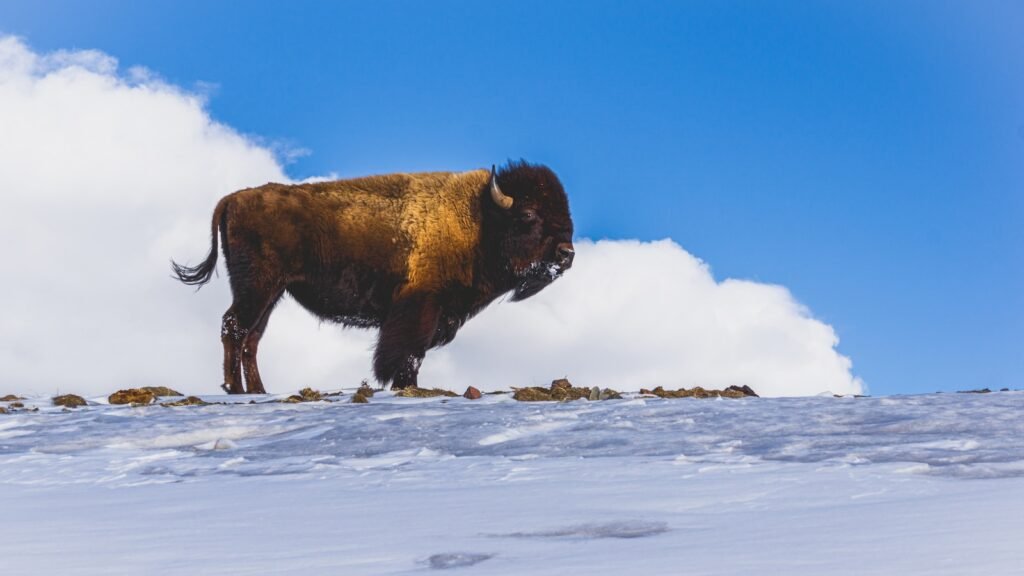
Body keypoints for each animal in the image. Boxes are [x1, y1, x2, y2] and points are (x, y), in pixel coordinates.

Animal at [172, 161, 574, 394]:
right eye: (528, 214)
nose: (567, 255)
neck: (480, 219)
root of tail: (232, 199)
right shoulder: (420, 307)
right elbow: (407, 354)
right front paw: (405, 386)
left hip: (272, 293)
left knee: (251, 338)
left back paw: (258, 390)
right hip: (257, 287)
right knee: (234, 327)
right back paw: (233, 389)